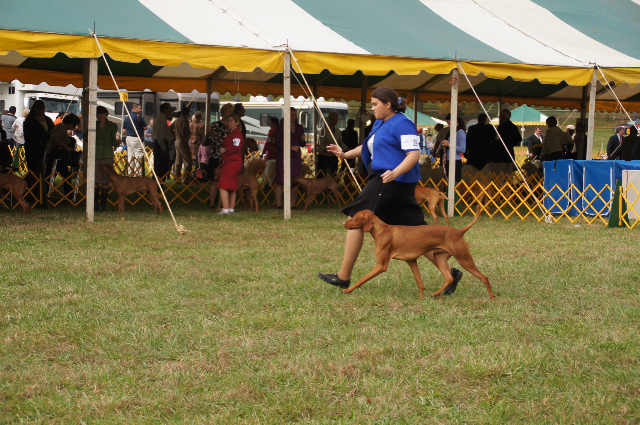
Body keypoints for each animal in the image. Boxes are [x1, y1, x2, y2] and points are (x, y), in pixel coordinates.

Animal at [342, 204, 495, 299]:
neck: (382, 230)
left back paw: (492, 297)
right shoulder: (411, 260)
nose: (344, 223)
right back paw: (436, 294)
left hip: (464, 259)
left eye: (354, 217)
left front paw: (348, 290)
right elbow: (420, 282)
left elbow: (362, 279)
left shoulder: (381, 265)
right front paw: (421, 298)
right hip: (439, 258)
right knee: (449, 278)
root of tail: (459, 231)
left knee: (484, 277)